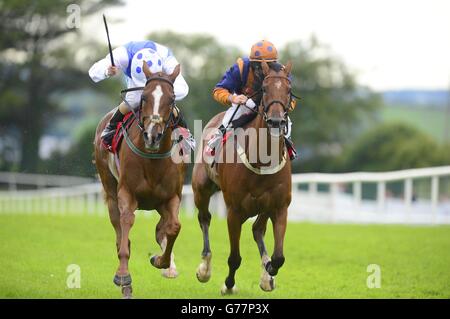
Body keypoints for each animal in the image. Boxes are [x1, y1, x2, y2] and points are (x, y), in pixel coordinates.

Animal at [94, 61, 185, 298]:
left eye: (171, 98)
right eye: (144, 96)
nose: (152, 135)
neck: (153, 158)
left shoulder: (172, 197)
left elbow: (173, 227)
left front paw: (162, 261)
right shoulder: (127, 193)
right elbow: (126, 223)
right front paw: (124, 277)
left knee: (162, 228)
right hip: (110, 188)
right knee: (118, 228)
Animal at [192, 60, 292, 296]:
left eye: (289, 90)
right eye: (264, 88)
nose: (276, 121)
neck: (261, 160)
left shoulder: (279, 206)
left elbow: (278, 258)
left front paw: (268, 272)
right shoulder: (234, 211)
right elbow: (235, 258)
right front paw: (228, 285)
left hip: (264, 206)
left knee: (257, 229)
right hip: (201, 188)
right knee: (205, 218)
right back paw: (204, 268)